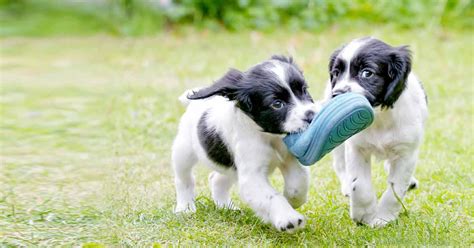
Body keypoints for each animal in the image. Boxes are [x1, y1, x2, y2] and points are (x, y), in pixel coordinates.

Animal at [171, 55, 318, 232]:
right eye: (277, 104)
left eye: (304, 90)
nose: (312, 116)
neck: (270, 136)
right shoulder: (252, 175)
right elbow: (272, 197)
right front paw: (288, 218)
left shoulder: (289, 158)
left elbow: (299, 183)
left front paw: (292, 200)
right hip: (183, 151)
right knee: (184, 179)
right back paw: (185, 207)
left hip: (231, 168)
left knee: (217, 179)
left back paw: (226, 207)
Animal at [324, 36, 428, 227]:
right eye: (336, 73)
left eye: (367, 73)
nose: (337, 94)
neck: (380, 117)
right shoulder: (356, 148)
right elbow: (360, 185)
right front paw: (363, 215)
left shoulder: (406, 153)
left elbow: (395, 188)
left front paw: (383, 217)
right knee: (340, 164)